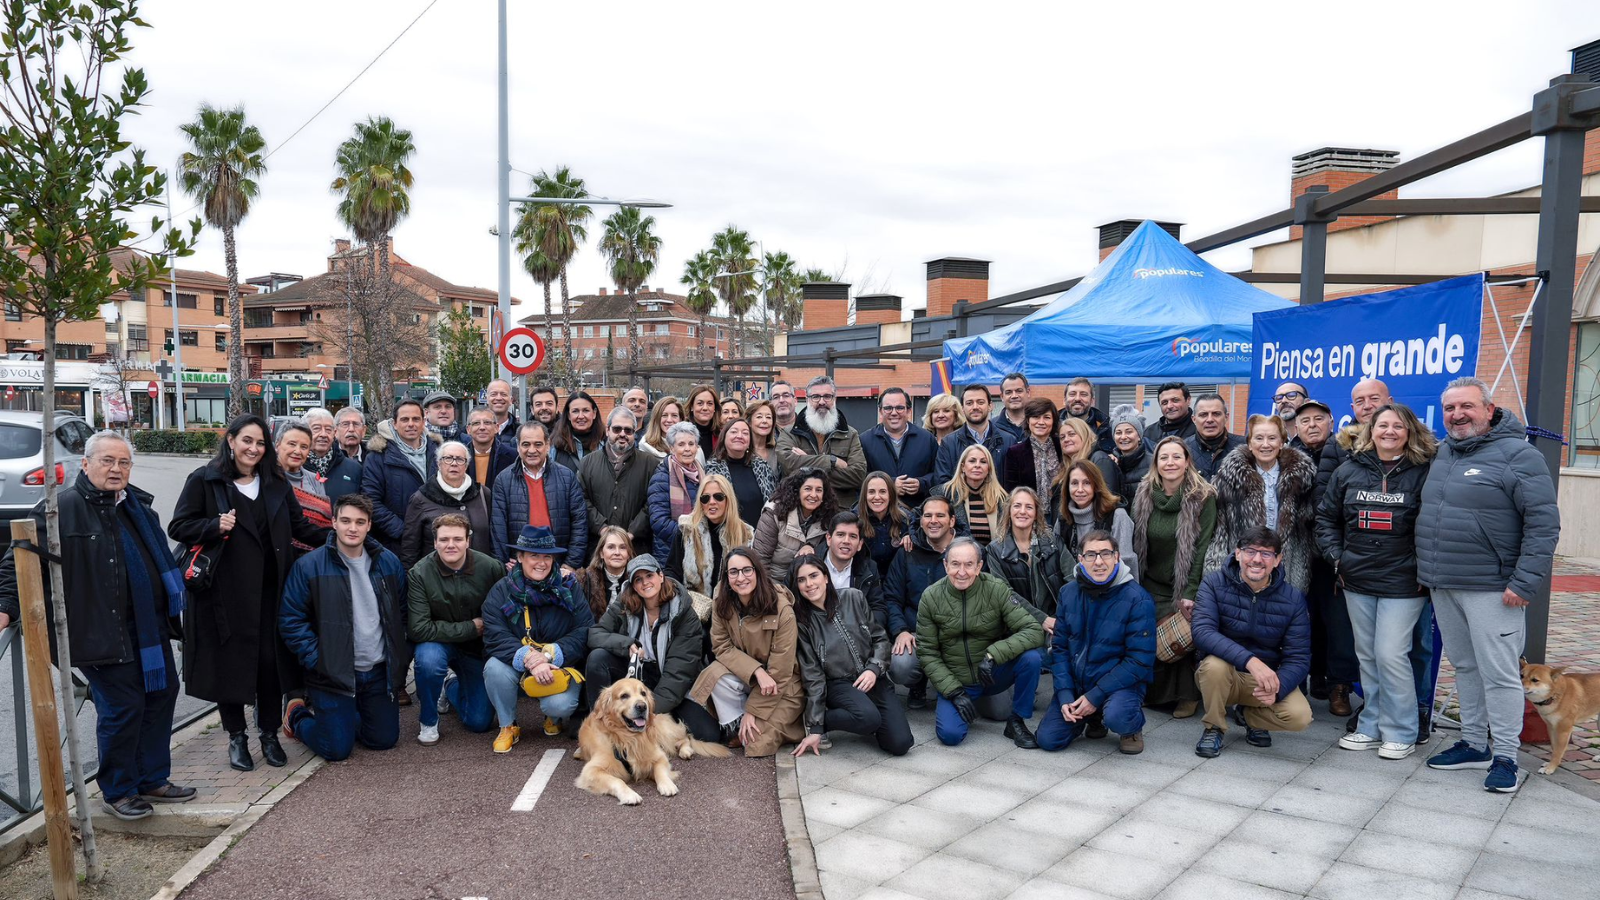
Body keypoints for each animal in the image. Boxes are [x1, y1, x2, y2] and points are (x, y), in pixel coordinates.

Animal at [576, 675, 732, 800]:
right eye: (624, 695)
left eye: (643, 693)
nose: (642, 706)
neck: (628, 738)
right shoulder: (591, 770)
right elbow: (616, 781)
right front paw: (630, 795)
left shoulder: (658, 755)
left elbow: (660, 770)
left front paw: (667, 785)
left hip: (663, 731)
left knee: (685, 736)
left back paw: (685, 750)